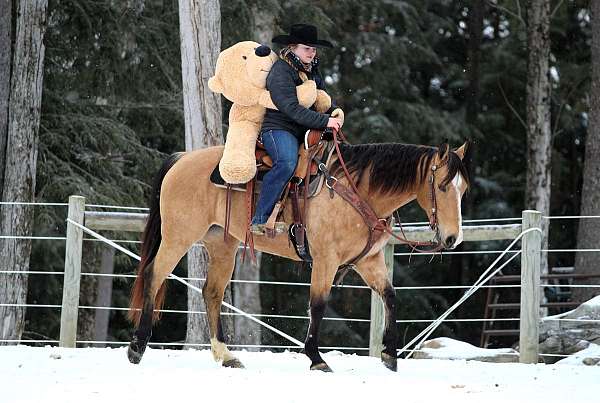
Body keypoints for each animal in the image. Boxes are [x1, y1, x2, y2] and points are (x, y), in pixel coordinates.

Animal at [126, 138, 472, 372]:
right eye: (442, 186)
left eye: (464, 189)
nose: (453, 238)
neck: (357, 191)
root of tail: (182, 158)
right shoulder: (326, 260)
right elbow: (317, 305)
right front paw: (316, 358)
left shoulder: (368, 261)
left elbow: (389, 296)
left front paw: (389, 355)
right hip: (178, 236)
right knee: (154, 275)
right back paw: (137, 348)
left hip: (222, 245)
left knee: (211, 292)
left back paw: (225, 355)